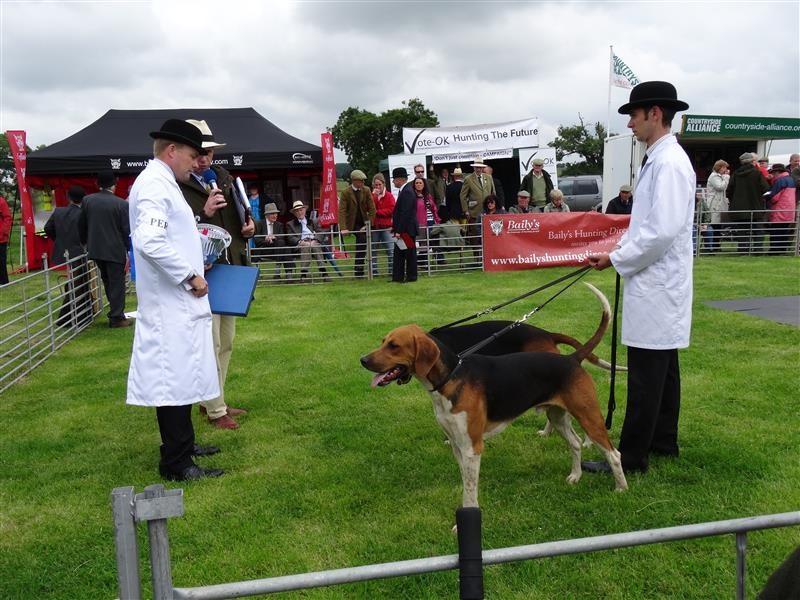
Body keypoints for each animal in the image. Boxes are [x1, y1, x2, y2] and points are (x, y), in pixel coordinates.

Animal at [360, 283, 627, 510]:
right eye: (383, 341)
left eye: (394, 346)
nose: (363, 360)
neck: (451, 377)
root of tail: (571, 358)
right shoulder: (457, 445)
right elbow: (466, 484)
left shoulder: (472, 448)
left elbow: (469, 490)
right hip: (558, 416)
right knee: (574, 443)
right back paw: (575, 476)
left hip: (588, 415)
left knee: (613, 453)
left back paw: (621, 489)